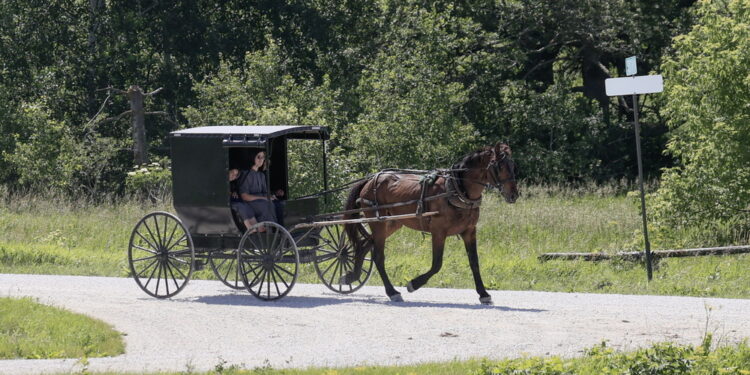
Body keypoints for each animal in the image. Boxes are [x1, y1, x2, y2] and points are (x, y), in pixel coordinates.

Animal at [344, 142, 520, 304]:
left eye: (512, 165)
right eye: (499, 165)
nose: (514, 195)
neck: (457, 189)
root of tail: (370, 180)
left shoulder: (469, 231)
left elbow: (474, 262)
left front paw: (483, 294)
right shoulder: (438, 232)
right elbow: (437, 264)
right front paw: (413, 284)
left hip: (391, 223)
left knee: (364, 245)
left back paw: (352, 276)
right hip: (379, 224)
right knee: (378, 256)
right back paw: (392, 291)